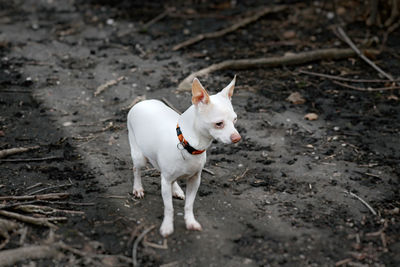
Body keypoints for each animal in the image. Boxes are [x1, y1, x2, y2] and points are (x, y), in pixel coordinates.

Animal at [128, 76, 241, 238]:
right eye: (219, 124)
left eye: (235, 120)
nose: (237, 138)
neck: (188, 145)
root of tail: (142, 102)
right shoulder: (165, 182)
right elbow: (169, 208)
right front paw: (167, 226)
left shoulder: (195, 180)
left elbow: (189, 204)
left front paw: (190, 222)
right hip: (139, 157)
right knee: (136, 169)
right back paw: (137, 188)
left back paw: (176, 190)